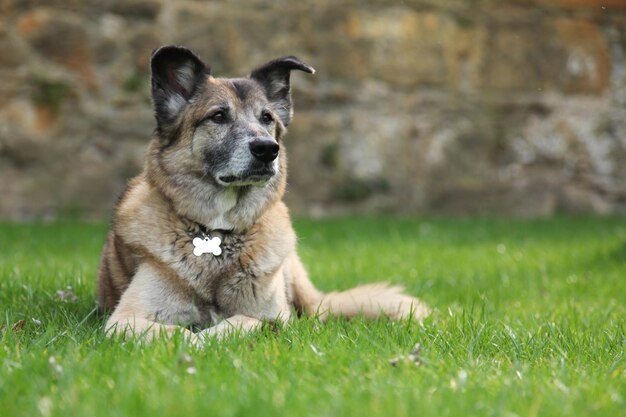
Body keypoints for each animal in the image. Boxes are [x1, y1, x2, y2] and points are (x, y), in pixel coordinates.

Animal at [97, 46, 428, 344]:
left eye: (266, 118)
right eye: (218, 116)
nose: (268, 149)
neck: (218, 236)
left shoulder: (274, 318)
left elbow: (243, 322)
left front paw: (210, 337)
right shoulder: (124, 320)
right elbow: (180, 334)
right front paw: (195, 341)